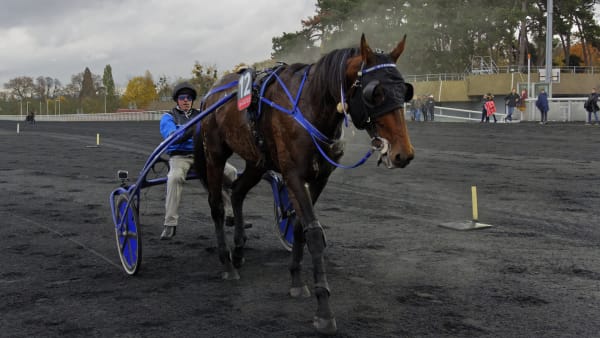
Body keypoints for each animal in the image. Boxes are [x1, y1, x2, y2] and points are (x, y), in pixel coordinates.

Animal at [195, 33, 414, 334]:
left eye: (405, 90)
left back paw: (238, 251)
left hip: (257, 161)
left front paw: (297, 281)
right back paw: (227, 264)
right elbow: (314, 234)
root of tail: (211, 93)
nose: (403, 154)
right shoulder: (293, 176)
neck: (310, 108)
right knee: (217, 205)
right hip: (215, 154)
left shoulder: (320, 178)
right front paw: (324, 310)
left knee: (237, 192)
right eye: (375, 93)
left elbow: (300, 227)